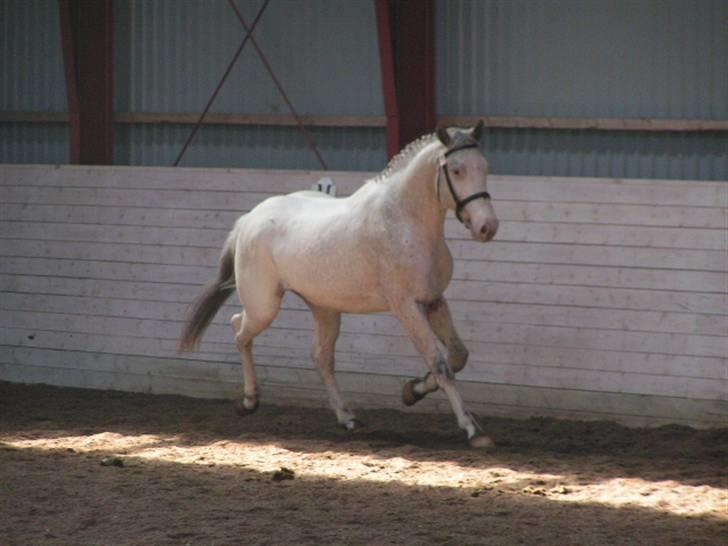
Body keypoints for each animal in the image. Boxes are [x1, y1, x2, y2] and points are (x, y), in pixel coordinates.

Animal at [181, 123, 500, 446]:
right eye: (457, 170)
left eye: (484, 166)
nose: (487, 227)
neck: (404, 221)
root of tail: (248, 219)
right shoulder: (406, 306)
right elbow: (440, 363)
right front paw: (472, 430)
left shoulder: (434, 300)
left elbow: (457, 356)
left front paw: (412, 391)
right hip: (264, 306)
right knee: (239, 330)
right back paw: (248, 402)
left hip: (324, 308)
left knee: (320, 357)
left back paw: (346, 418)